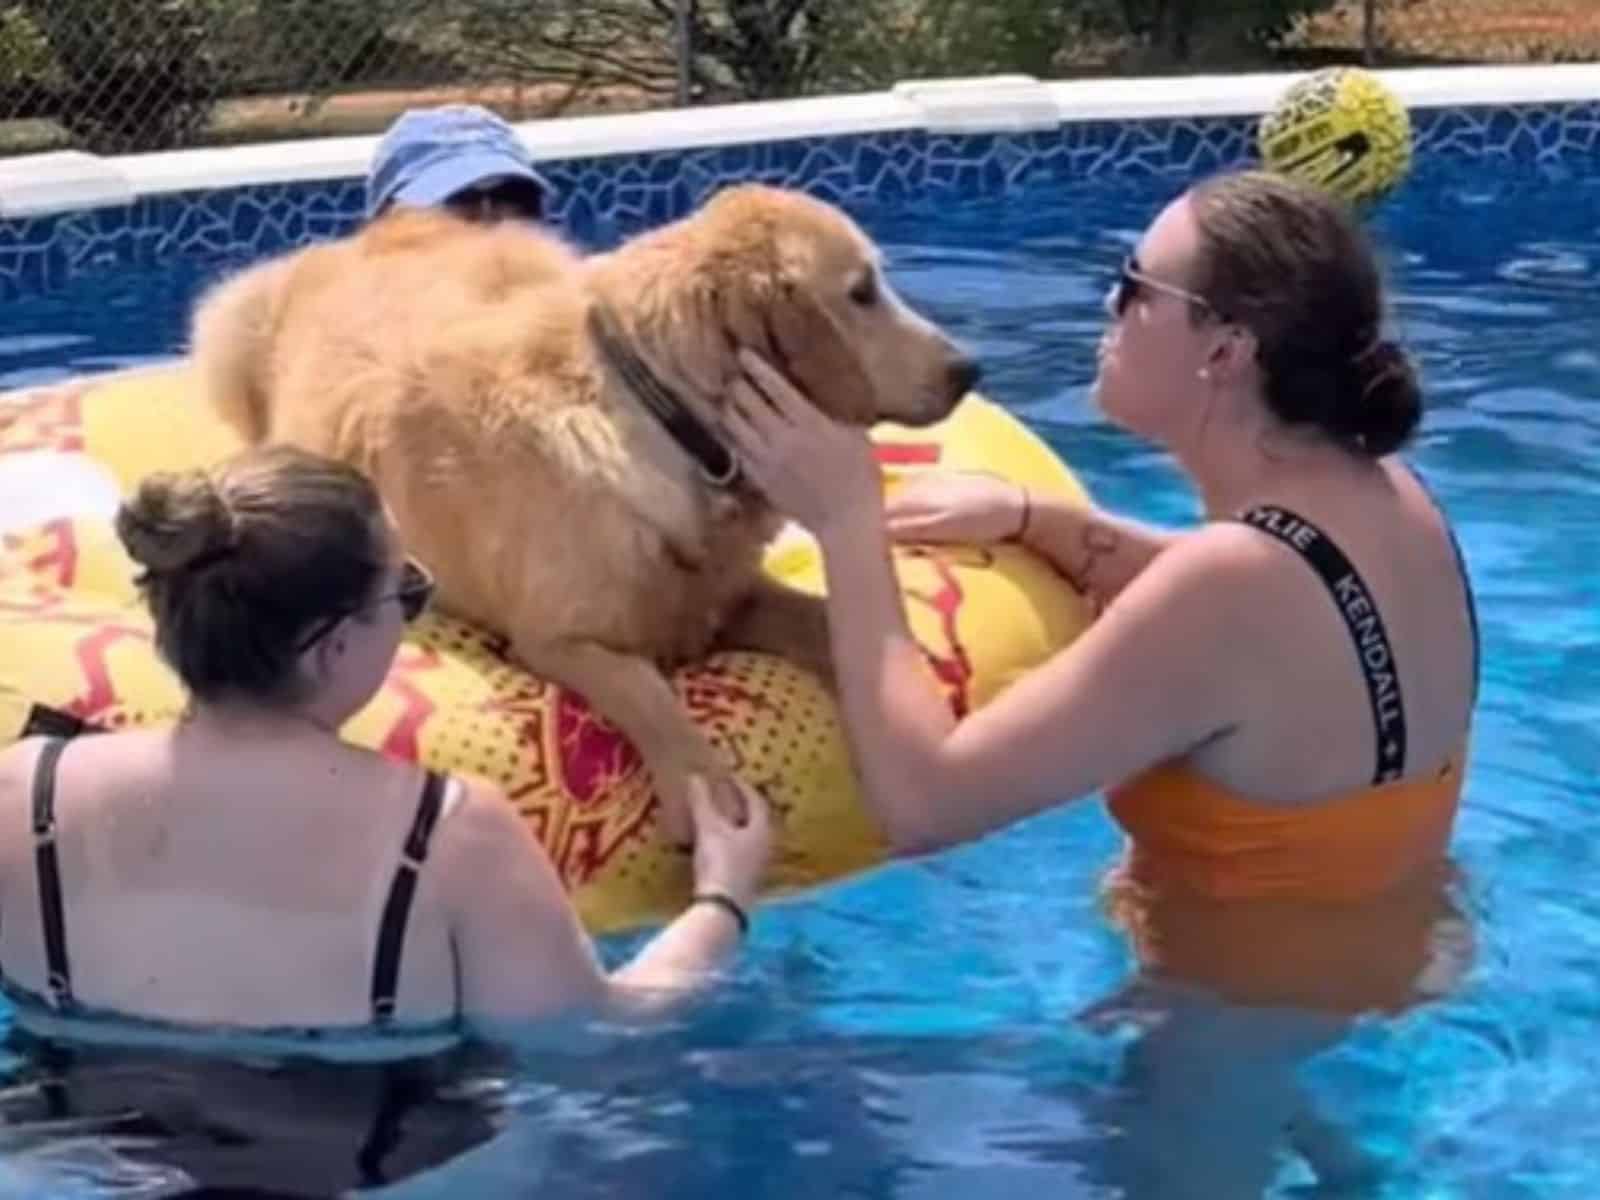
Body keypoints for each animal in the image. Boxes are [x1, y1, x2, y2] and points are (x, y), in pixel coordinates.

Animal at [181, 188, 966, 838]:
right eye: (862, 291)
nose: (969, 370)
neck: (663, 411)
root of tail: (381, 228)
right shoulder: (558, 637)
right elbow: (647, 688)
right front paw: (702, 789)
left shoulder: (724, 595)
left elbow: (821, 618)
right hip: (233, 321)